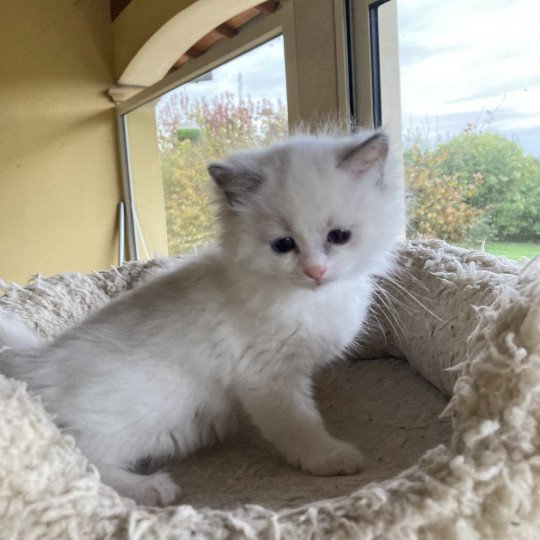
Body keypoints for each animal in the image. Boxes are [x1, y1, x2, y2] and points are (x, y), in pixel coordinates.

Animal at [0, 131, 402, 506]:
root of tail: (33, 364)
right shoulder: (269, 378)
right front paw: (331, 457)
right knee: (79, 459)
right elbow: (300, 427)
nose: (315, 271)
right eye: (283, 245)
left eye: (339, 236)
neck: (305, 299)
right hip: (152, 409)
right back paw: (152, 488)